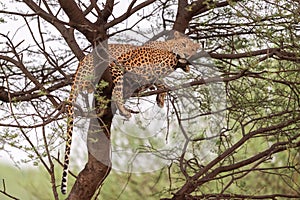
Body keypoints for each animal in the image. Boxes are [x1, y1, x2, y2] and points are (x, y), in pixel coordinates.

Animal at [60, 30, 199, 194]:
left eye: (193, 49)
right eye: (184, 44)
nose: (187, 55)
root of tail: (81, 66)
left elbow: (160, 82)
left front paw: (160, 96)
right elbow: (158, 79)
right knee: (116, 91)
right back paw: (125, 107)